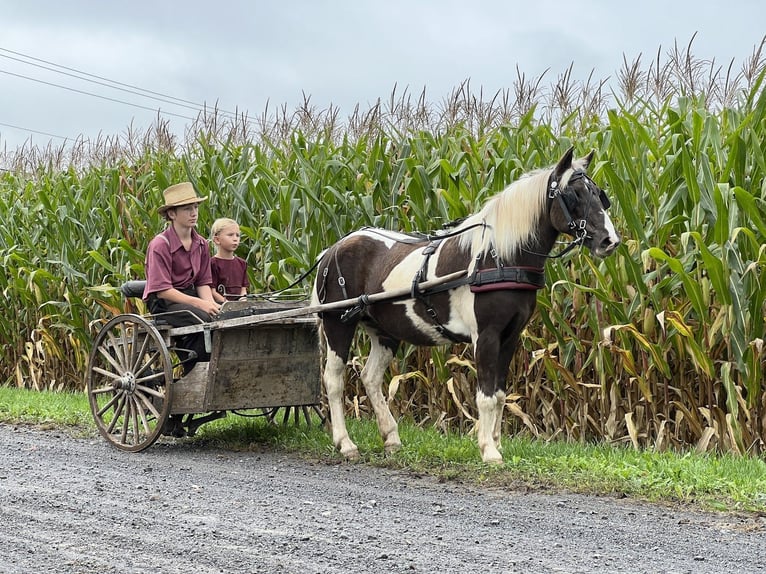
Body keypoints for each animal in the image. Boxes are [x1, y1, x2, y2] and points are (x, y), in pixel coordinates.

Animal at [312, 148, 624, 464]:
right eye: (573, 195)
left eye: (599, 194)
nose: (609, 241)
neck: (497, 257)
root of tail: (332, 249)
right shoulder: (485, 336)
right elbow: (485, 396)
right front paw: (488, 449)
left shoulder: (510, 337)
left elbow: (499, 394)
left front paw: (496, 442)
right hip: (338, 323)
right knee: (334, 380)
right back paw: (345, 442)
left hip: (384, 330)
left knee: (371, 377)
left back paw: (391, 437)